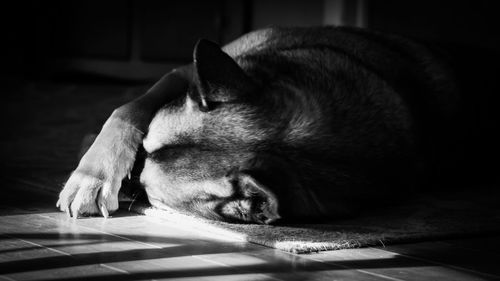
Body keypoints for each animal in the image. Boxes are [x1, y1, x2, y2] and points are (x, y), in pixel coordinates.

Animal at [56, 26, 458, 223]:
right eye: (143, 148)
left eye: (145, 190)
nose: (127, 183)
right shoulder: (183, 74)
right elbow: (125, 111)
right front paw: (91, 177)